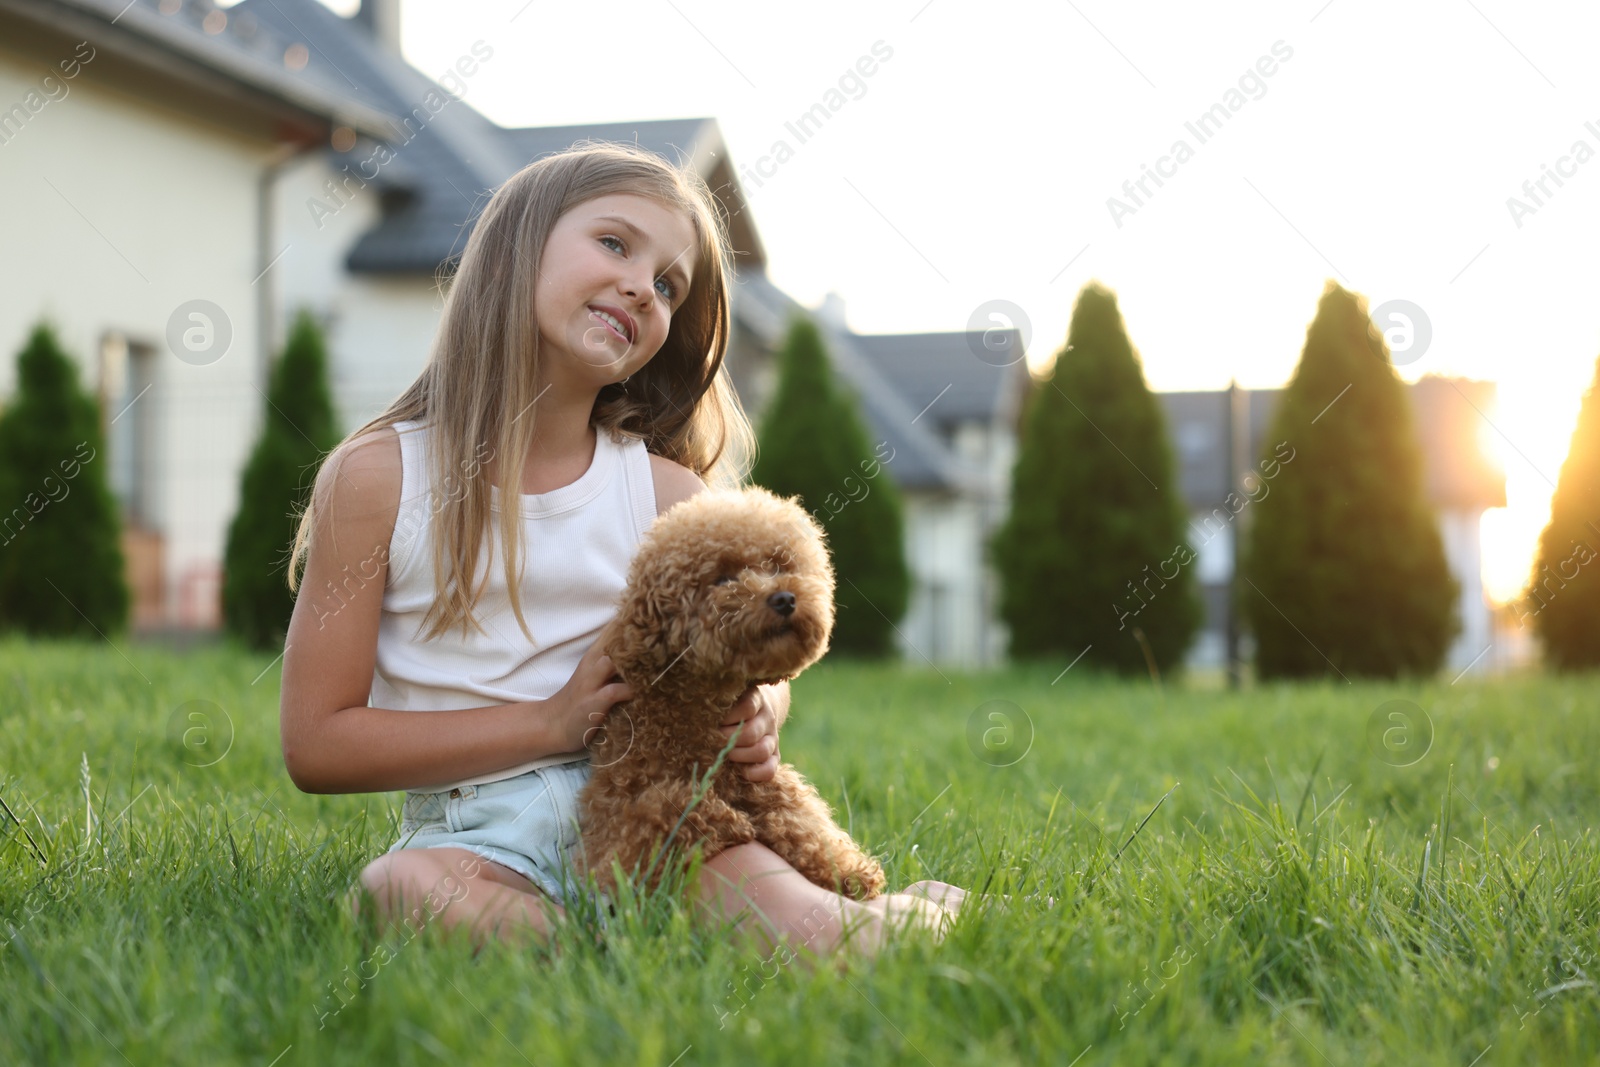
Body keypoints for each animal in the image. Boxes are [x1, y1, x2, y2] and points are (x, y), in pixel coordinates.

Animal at [576, 489, 896, 908]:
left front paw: (848, 871)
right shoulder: (613, 837)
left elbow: (805, 824)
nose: (784, 598)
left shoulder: (770, 780)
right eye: (723, 578)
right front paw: (727, 821)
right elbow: (668, 808)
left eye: (779, 565)